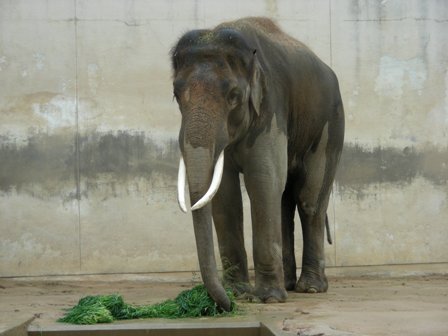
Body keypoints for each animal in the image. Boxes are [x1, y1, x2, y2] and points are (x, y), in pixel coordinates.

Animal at [171, 17, 344, 312]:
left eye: (233, 95)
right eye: (176, 95)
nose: (224, 306)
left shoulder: (271, 106)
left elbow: (262, 181)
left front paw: (266, 298)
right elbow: (225, 193)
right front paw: (238, 293)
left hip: (330, 125)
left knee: (309, 201)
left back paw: (310, 288)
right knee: (285, 199)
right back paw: (289, 285)